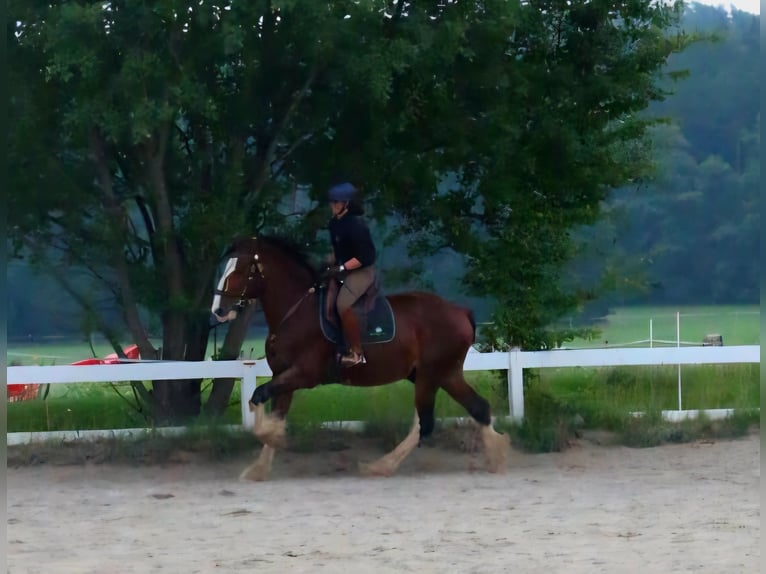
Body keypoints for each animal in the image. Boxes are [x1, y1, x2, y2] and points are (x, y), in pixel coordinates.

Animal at [211, 235, 510, 481]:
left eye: (240, 269)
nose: (218, 311)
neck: (296, 312)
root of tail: (461, 312)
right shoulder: (283, 377)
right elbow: (271, 410)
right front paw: (259, 468)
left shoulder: (303, 374)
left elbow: (258, 398)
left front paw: (275, 441)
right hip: (442, 375)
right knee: (474, 409)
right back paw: (494, 455)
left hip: (432, 374)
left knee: (427, 423)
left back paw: (382, 466)